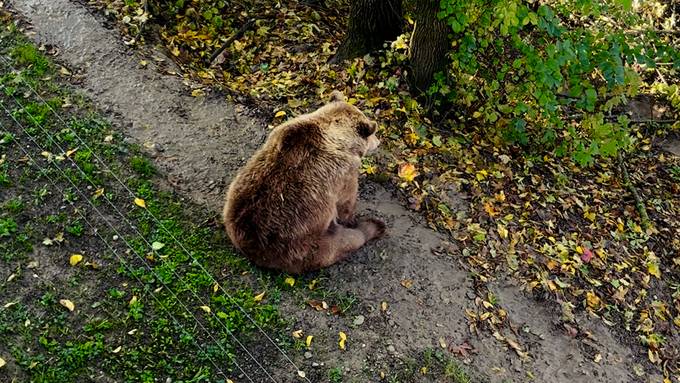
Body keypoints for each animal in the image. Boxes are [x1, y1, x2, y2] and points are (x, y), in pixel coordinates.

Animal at [222, 91, 386, 274]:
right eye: (372, 134)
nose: (378, 141)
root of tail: (254, 250)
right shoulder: (344, 173)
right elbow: (346, 203)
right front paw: (352, 218)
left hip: (234, 195)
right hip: (305, 247)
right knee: (346, 241)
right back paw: (375, 226)